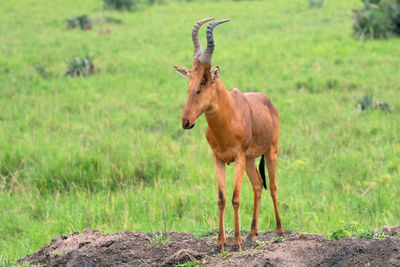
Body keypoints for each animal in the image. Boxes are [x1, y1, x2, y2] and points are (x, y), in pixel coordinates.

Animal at [173, 18, 282, 253]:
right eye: (190, 80)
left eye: (204, 81)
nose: (186, 122)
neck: (230, 114)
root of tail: (268, 101)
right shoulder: (218, 158)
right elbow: (222, 198)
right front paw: (220, 244)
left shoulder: (238, 157)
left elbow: (235, 198)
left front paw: (236, 242)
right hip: (250, 159)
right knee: (258, 185)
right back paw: (252, 233)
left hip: (271, 151)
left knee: (273, 186)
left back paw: (279, 230)